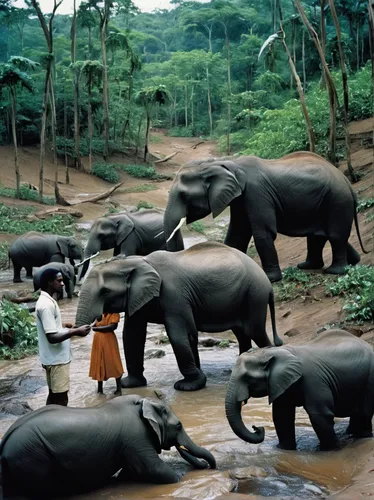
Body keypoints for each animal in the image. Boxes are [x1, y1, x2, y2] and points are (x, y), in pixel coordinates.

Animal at [0, 394, 216, 496]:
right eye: (178, 426)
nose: (209, 467)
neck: (143, 401)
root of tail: (4, 443)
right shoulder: (135, 437)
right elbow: (154, 469)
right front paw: (180, 477)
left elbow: (130, 472)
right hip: (31, 457)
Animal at [74, 241, 282, 390]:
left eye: (105, 291)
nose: (86, 327)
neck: (138, 261)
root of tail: (267, 283)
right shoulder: (138, 296)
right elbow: (132, 334)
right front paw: (130, 384)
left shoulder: (174, 295)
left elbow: (180, 334)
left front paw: (188, 386)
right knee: (242, 333)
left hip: (254, 296)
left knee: (255, 332)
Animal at [164, 150, 368, 284]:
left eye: (183, 195)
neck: (225, 162)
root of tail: (348, 183)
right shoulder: (241, 199)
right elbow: (237, 233)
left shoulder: (256, 193)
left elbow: (263, 233)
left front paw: (271, 279)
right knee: (320, 235)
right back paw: (324, 264)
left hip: (337, 200)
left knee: (335, 235)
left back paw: (335, 271)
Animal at [225, 330, 374, 452]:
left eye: (247, 378)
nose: (257, 427)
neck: (274, 352)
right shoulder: (281, 382)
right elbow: (281, 415)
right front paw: (284, 449)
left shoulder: (313, 380)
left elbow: (320, 415)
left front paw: (330, 450)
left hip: (370, 376)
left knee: (364, 411)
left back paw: (362, 436)